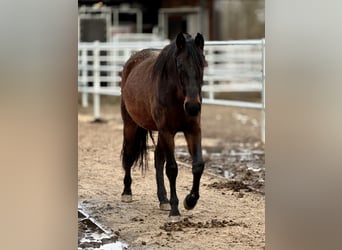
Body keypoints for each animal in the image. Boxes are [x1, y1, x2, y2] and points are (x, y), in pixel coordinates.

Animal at [119, 32, 207, 222]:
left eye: (202, 63)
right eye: (180, 65)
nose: (193, 107)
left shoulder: (193, 130)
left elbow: (197, 165)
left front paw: (190, 201)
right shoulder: (167, 131)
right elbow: (172, 169)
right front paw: (175, 210)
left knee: (158, 159)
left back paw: (163, 199)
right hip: (130, 125)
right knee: (129, 155)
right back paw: (127, 193)